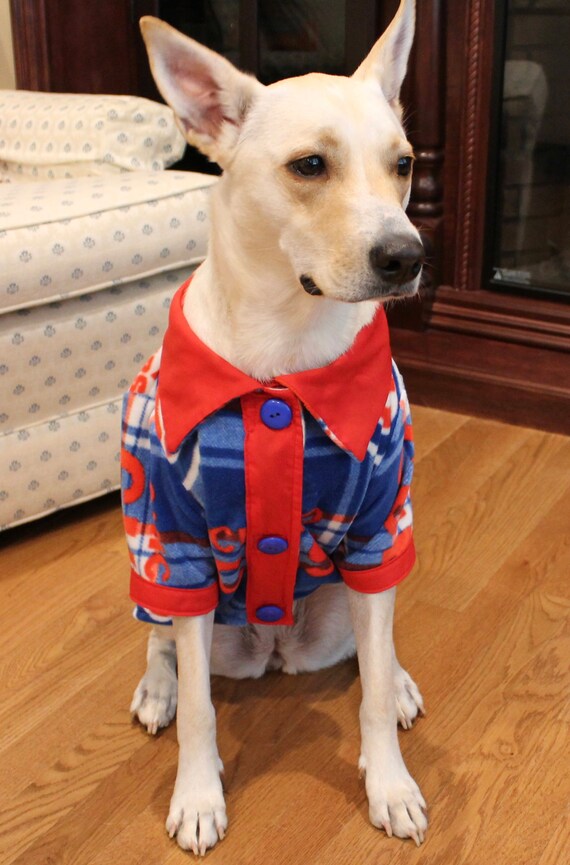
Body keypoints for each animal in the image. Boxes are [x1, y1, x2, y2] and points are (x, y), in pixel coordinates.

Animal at [124, 0, 426, 852]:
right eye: (309, 166)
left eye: (404, 164)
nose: (408, 257)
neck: (286, 349)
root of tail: (276, 645)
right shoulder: (177, 541)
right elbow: (199, 708)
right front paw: (197, 794)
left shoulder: (380, 523)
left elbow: (372, 681)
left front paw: (389, 783)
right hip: (167, 584)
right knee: (160, 638)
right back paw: (154, 686)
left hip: (340, 606)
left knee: (372, 643)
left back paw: (399, 679)